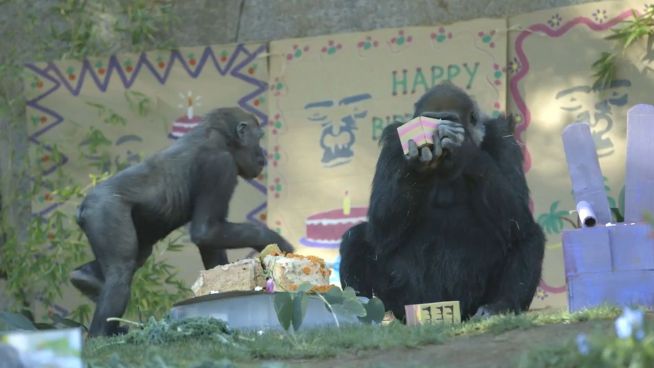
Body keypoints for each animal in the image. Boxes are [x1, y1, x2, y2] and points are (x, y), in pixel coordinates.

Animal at [70, 106, 294, 336]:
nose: (262, 157)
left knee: (138, 255)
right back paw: (100, 333)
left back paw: (87, 280)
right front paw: (272, 240)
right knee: (120, 270)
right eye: (258, 139)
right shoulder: (220, 164)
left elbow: (210, 241)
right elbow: (207, 231)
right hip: (103, 209)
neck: (221, 137)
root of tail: (82, 208)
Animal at [340, 82, 544, 320]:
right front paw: (419, 165)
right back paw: (361, 314)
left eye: (447, 120)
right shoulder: (393, 142)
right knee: (357, 238)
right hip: (406, 304)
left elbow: (517, 216)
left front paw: (465, 150)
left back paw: (500, 306)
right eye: (429, 119)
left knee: (528, 236)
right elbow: (380, 227)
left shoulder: (504, 138)